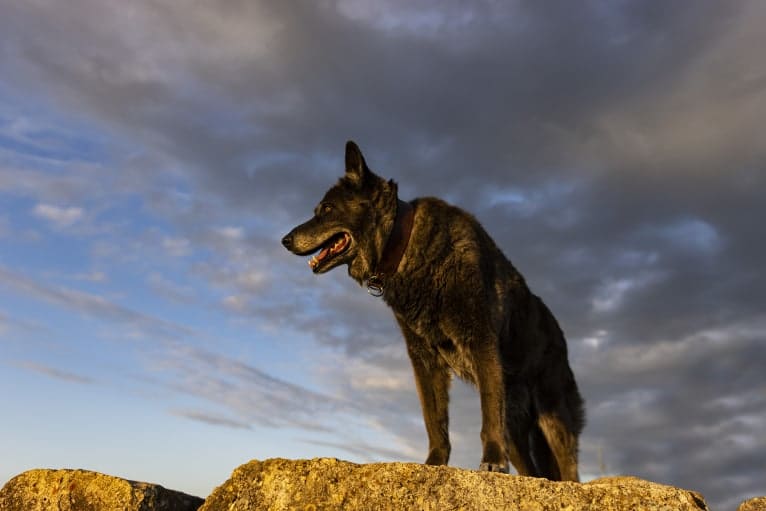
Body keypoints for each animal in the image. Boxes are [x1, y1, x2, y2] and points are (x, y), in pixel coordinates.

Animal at [284, 140, 588, 480]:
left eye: (327, 210)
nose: (285, 240)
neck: (404, 245)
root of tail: (560, 335)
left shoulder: (480, 342)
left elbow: (486, 413)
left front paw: (492, 459)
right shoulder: (424, 359)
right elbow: (434, 421)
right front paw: (434, 463)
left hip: (554, 419)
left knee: (568, 468)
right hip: (517, 427)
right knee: (533, 469)